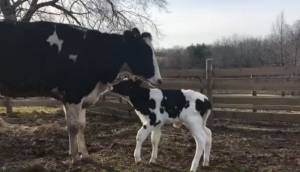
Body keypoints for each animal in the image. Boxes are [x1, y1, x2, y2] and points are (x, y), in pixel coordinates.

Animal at [0, 21, 162, 161]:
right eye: (143, 51)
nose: (160, 80)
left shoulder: (79, 98)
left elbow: (81, 126)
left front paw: (84, 154)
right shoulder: (74, 95)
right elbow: (73, 127)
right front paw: (74, 157)